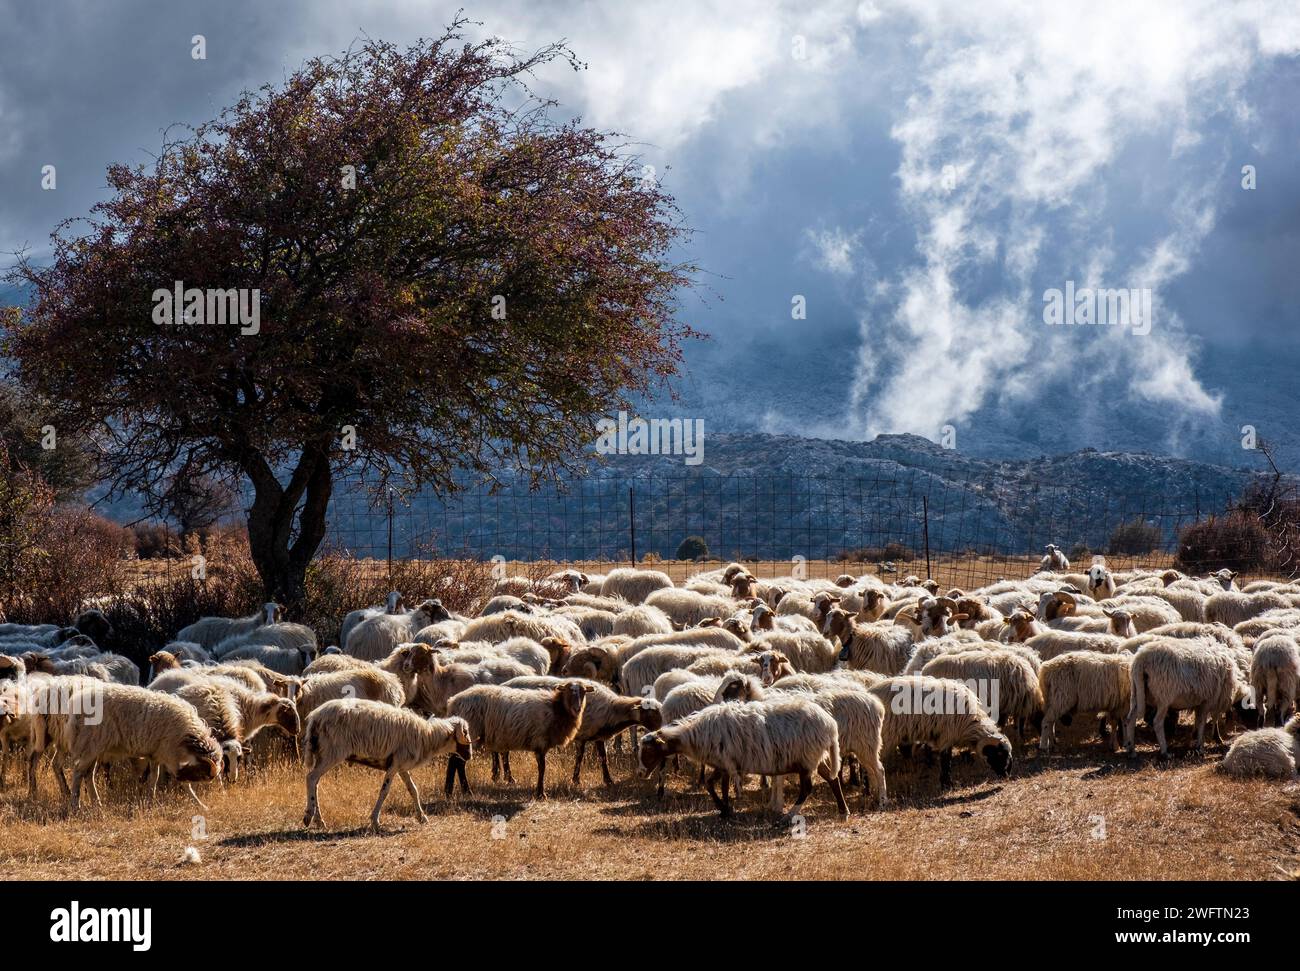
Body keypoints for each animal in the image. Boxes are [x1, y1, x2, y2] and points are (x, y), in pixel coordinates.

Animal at [300, 701, 473, 831]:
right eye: (465, 732)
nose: (470, 755)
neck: (428, 736)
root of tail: (315, 717)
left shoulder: (402, 766)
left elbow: (413, 790)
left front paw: (422, 817)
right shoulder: (394, 765)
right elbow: (384, 791)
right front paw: (375, 821)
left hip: (322, 754)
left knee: (315, 783)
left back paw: (319, 820)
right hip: (332, 752)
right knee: (311, 778)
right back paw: (308, 816)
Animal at [444, 681, 592, 795]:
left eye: (584, 692)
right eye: (568, 691)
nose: (577, 709)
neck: (557, 708)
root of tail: (453, 702)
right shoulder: (540, 741)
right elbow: (542, 768)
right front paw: (540, 793)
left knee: (454, 761)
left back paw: (450, 791)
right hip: (471, 732)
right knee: (458, 762)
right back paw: (466, 791)